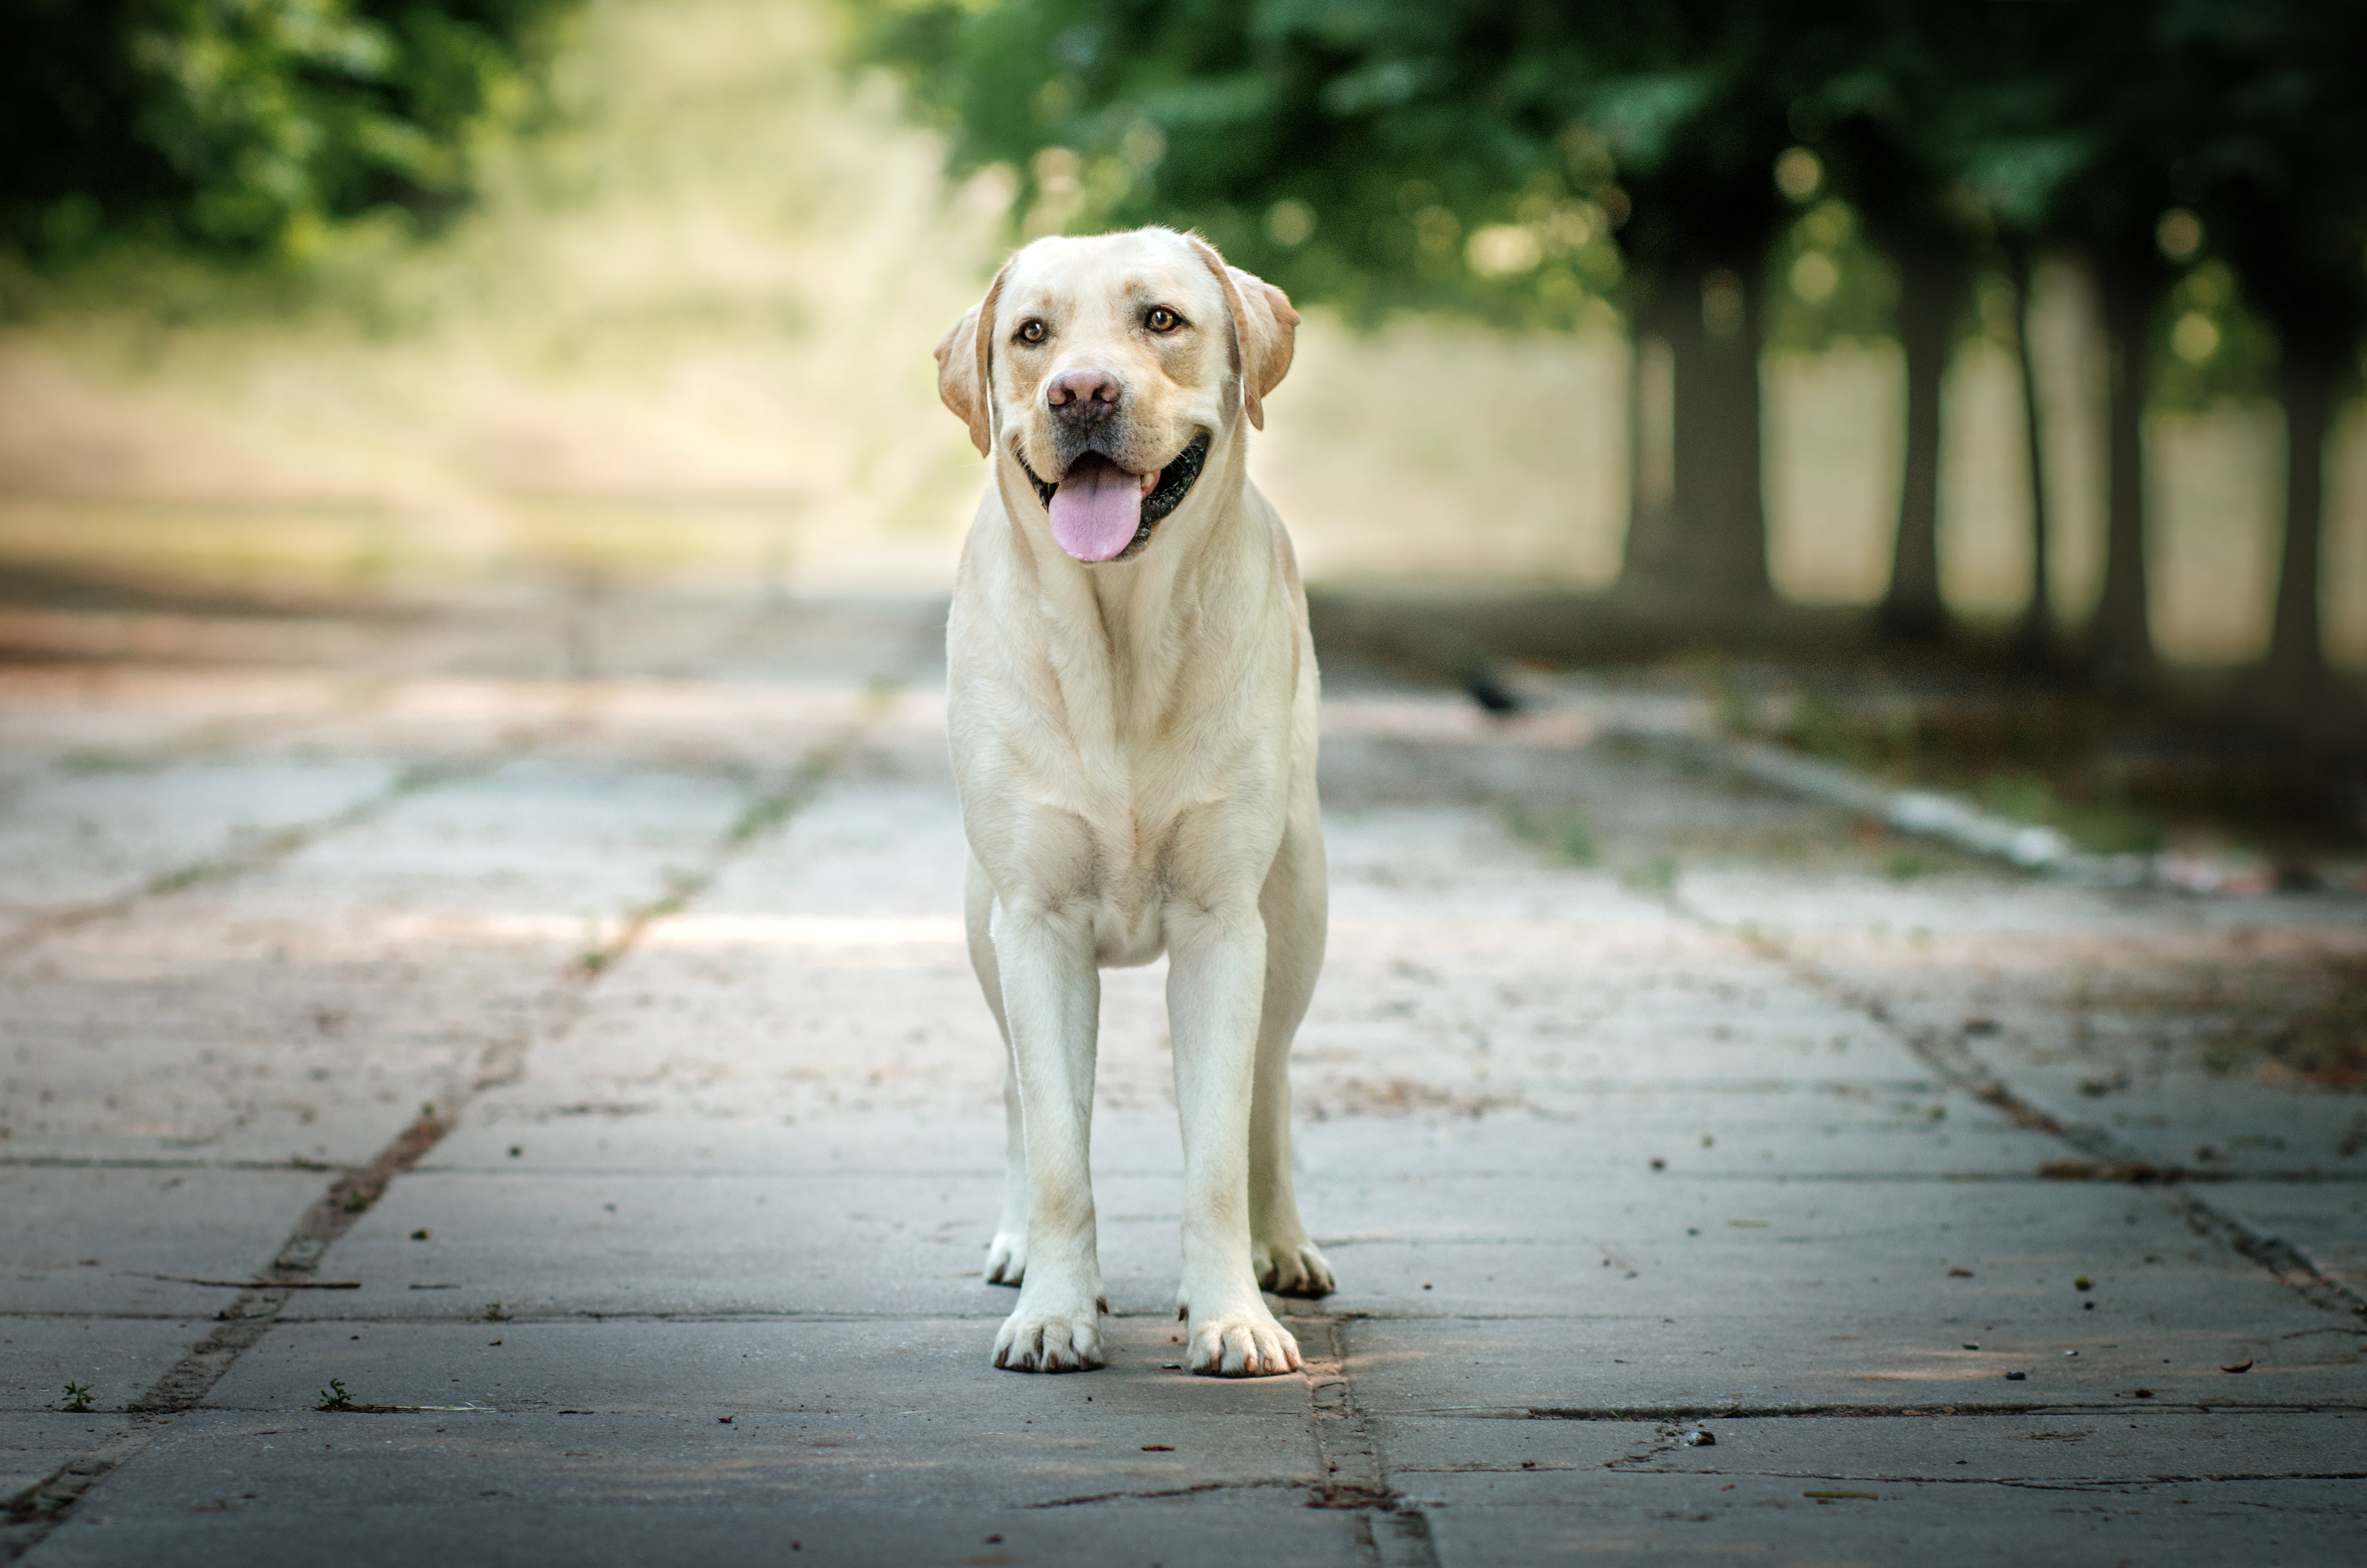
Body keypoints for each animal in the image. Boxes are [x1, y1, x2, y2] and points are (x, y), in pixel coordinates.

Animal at [932, 227, 1335, 1383]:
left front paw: (1232, 1315)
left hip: (1298, 904)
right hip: (980, 924)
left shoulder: (1222, 926)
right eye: (1031, 333)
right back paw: (1019, 1245)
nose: (1079, 390)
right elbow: (1060, 1149)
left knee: (1268, 1086)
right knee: (1021, 1093)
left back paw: (1280, 1246)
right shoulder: (1036, 920)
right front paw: (1055, 1312)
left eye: (1160, 319)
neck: (1118, 640)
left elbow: (1216, 1150)